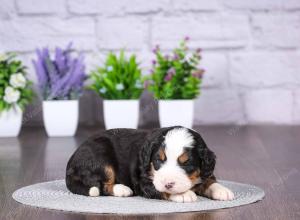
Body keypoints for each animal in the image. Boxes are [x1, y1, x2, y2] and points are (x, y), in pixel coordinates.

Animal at [65, 126, 234, 202]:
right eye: (159, 160)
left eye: (186, 163)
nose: (168, 183)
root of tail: (70, 164)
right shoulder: (144, 181)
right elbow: (161, 190)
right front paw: (184, 194)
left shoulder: (205, 170)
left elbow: (209, 179)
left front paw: (222, 190)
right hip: (101, 158)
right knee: (102, 186)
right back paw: (122, 189)